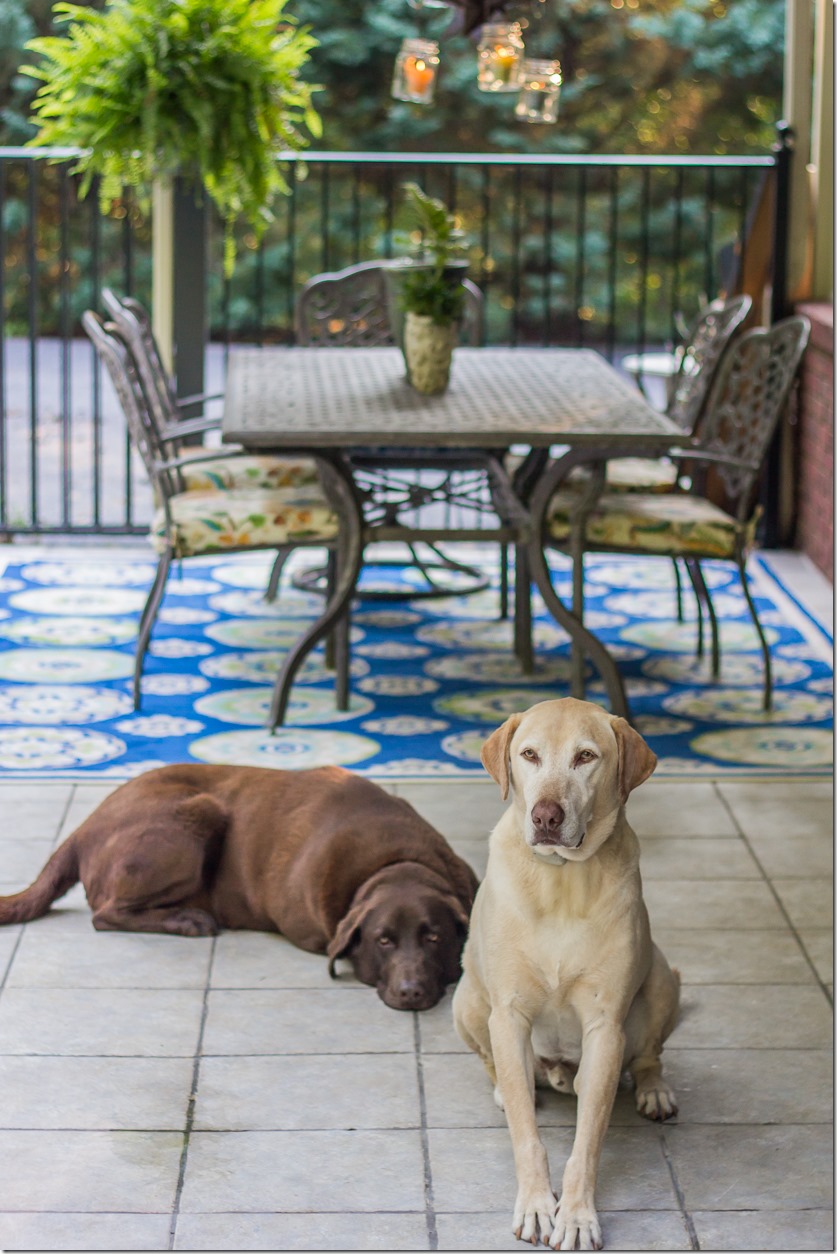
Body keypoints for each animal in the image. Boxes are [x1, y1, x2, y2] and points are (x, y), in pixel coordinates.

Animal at [1, 757, 476, 1013]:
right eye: (383, 941)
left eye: (433, 937)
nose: (410, 991)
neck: (394, 863)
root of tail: (83, 826)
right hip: (197, 815)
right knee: (104, 914)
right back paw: (188, 920)